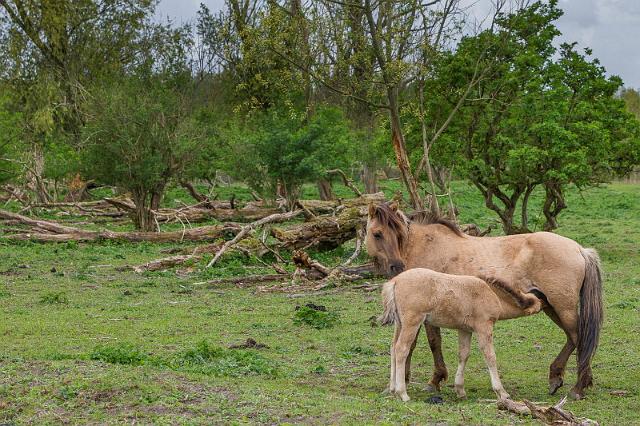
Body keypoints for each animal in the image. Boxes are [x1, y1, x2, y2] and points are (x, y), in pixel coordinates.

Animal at [382, 268, 544, 402]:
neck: (491, 293)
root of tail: (396, 281)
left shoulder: (465, 330)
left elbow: (463, 354)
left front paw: (460, 390)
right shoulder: (484, 327)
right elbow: (490, 356)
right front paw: (502, 392)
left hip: (399, 323)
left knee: (393, 348)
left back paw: (392, 389)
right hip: (412, 322)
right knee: (401, 349)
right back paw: (402, 393)